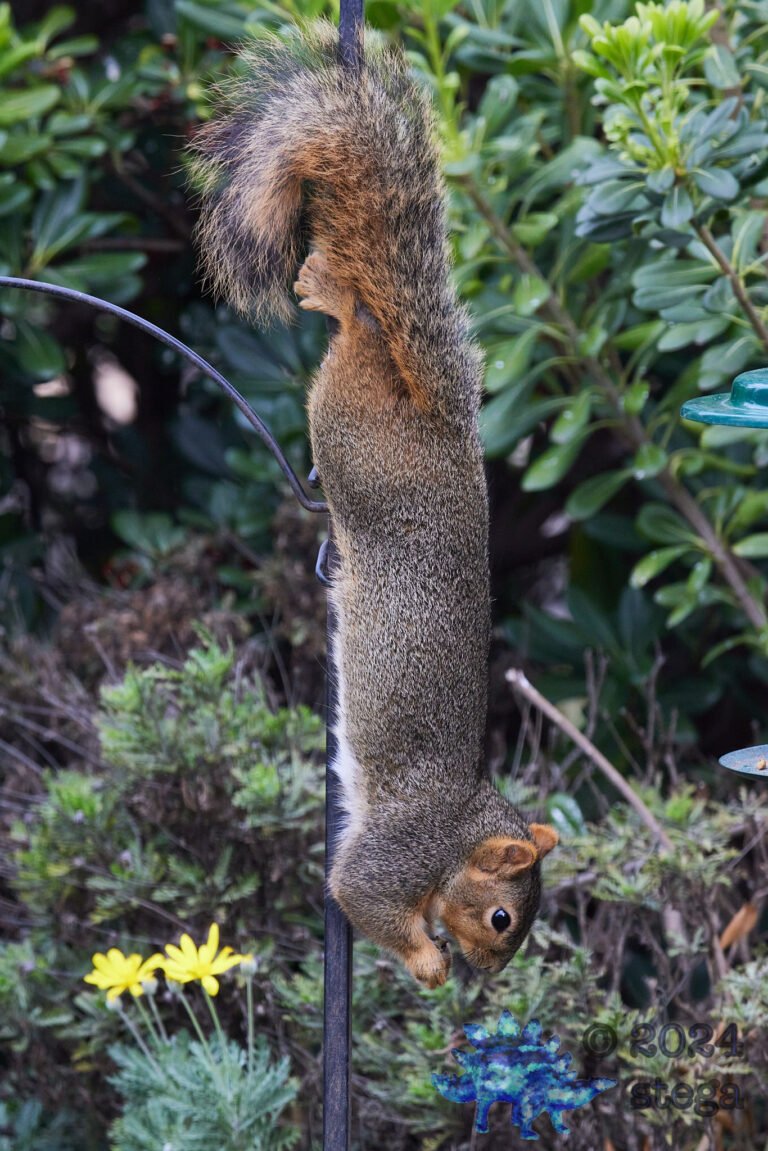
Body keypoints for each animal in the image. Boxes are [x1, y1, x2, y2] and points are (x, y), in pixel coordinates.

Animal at [191, 21, 558, 988]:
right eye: (503, 917)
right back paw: (338, 296)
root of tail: (442, 423)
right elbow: (355, 890)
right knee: (360, 334)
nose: (488, 975)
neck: (459, 827)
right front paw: (427, 963)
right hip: (352, 440)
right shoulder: (395, 851)